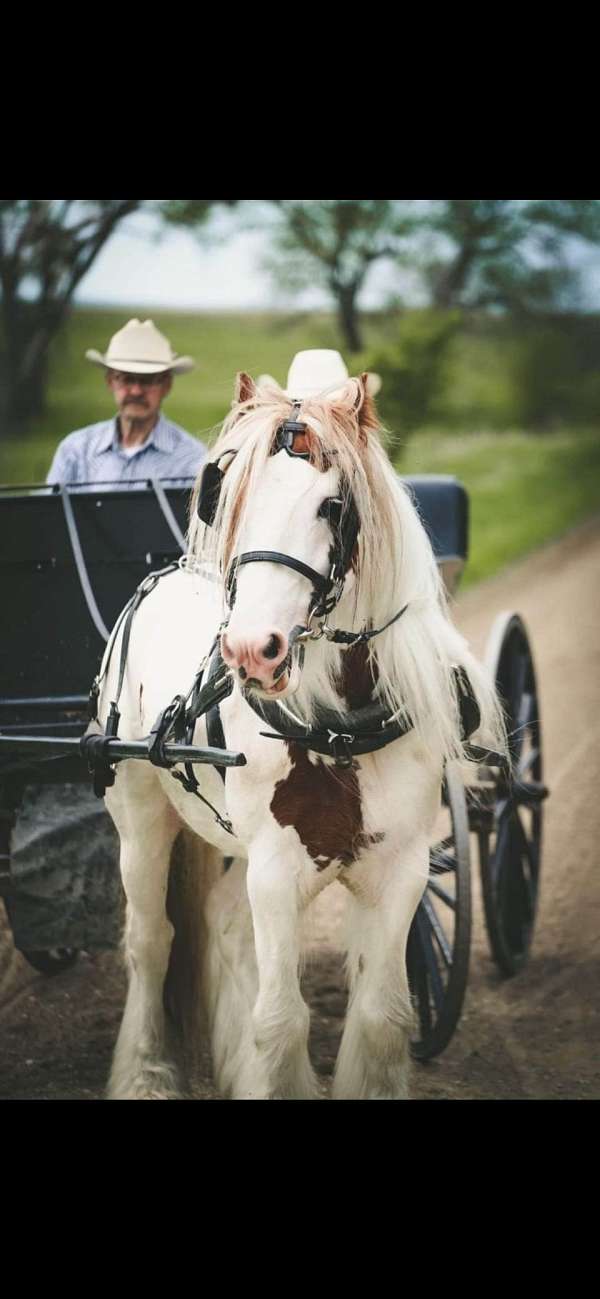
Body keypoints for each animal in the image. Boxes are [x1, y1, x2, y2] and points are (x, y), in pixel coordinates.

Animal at [99, 353, 506, 1096]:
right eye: (231, 496)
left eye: (333, 507)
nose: (249, 649)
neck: (339, 725)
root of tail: (161, 578)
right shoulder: (276, 868)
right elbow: (281, 1019)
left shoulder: (399, 867)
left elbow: (381, 1018)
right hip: (139, 813)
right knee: (151, 942)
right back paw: (145, 1073)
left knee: (226, 926)